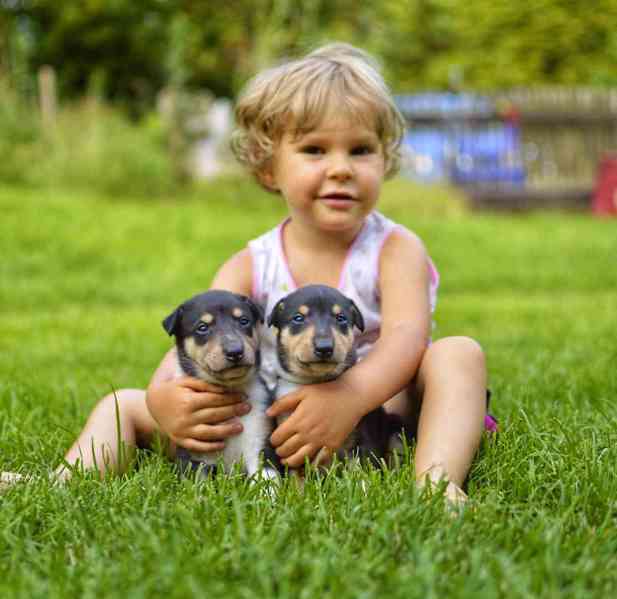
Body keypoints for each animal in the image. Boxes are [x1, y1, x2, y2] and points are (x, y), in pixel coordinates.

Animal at [162, 288, 276, 480]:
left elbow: (266, 479)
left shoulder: (260, 441)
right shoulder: (195, 451)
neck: (229, 387)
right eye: (202, 327)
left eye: (244, 321)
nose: (235, 352)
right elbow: (199, 483)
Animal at [268, 286, 402, 468]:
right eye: (298, 318)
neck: (314, 381)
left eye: (341, 318)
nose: (324, 348)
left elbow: (361, 469)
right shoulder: (288, 439)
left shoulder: (363, 437)